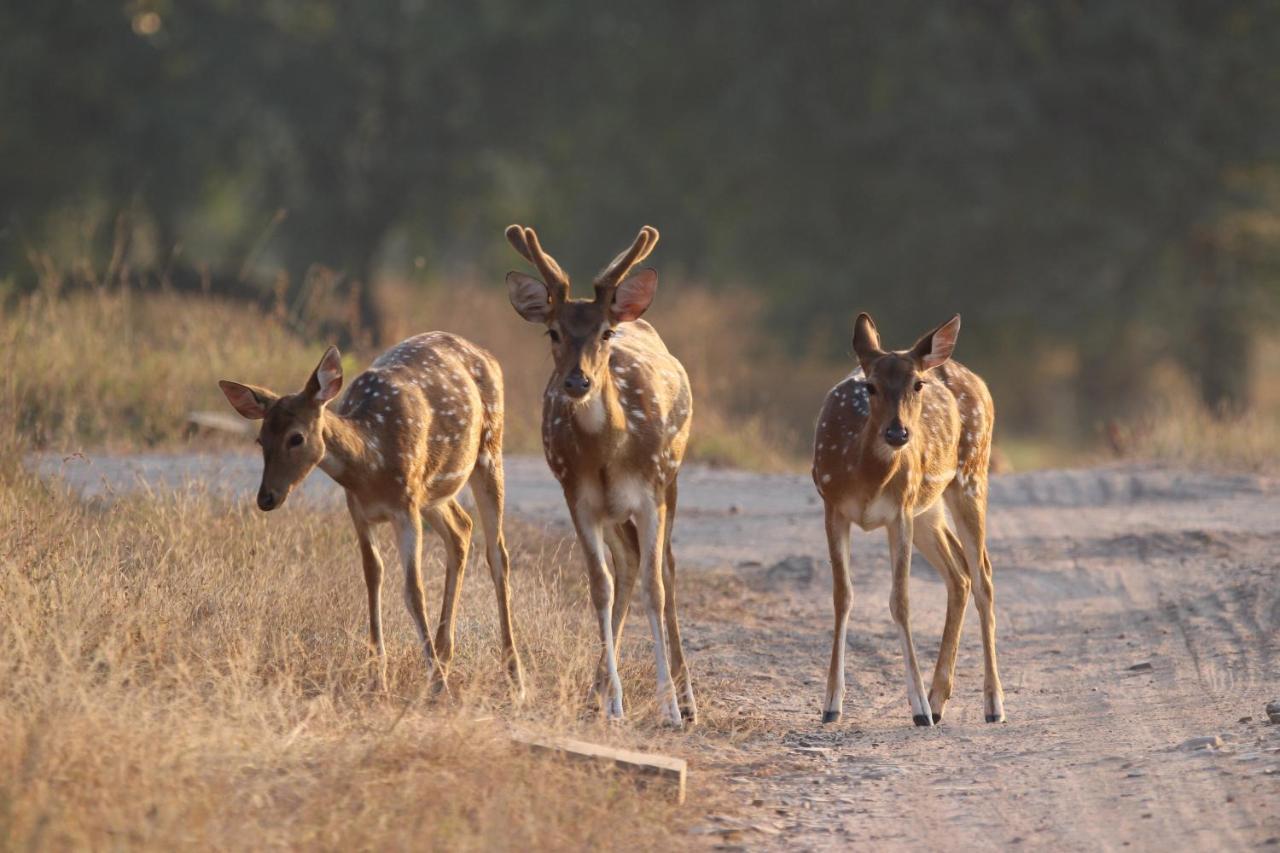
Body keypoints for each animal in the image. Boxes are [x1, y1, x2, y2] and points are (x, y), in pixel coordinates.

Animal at [220, 327, 524, 696]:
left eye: (296, 438)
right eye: (260, 440)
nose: (266, 498)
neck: (372, 462)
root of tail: (487, 355)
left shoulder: (406, 506)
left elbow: (413, 591)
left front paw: (437, 683)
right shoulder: (359, 510)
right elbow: (372, 575)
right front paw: (378, 674)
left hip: (489, 451)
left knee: (497, 553)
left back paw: (513, 675)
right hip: (434, 493)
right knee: (461, 528)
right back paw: (444, 654)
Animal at [501, 222, 696, 722]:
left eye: (605, 332)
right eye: (552, 332)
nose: (577, 381)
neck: (611, 453)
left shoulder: (649, 493)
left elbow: (654, 586)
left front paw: (669, 709)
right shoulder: (579, 497)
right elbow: (600, 586)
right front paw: (616, 704)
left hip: (671, 480)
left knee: (666, 567)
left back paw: (688, 699)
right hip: (612, 510)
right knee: (625, 564)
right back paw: (599, 692)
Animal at [814, 312, 1003, 722]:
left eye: (917, 384)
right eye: (870, 386)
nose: (898, 432)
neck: (866, 479)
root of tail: (979, 382)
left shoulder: (899, 512)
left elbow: (901, 601)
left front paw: (918, 709)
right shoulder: (832, 506)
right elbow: (842, 596)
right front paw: (831, 705)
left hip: (971, 476)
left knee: (983, 576)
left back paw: (993, 704)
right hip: (928, 507)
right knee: (960, 573)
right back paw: (939, 698)